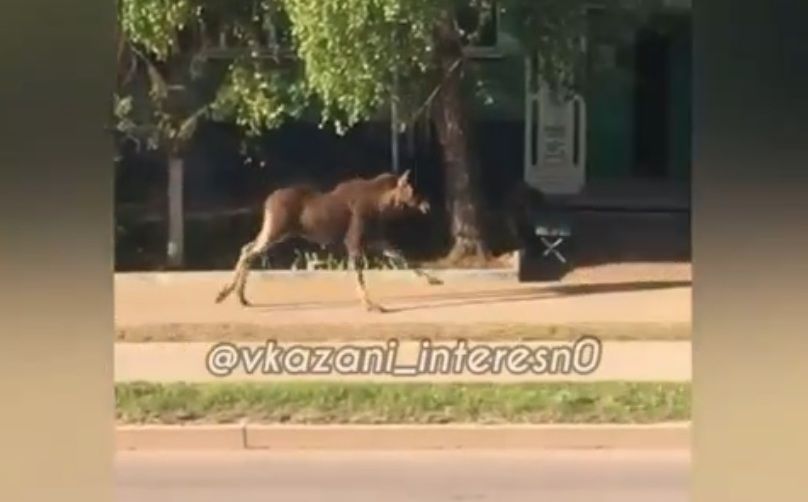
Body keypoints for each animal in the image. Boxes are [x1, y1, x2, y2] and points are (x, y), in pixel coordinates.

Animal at [214, 170, 443, 312]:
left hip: (274, 231)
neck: (382, 205)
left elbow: (401, 256)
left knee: (247, 249)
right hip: (277, 230)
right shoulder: (353, 240)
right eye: (412, 189)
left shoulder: (374, 238)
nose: (427, 204)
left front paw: (433, 279)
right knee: (249, 252)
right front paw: (371, 305)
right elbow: (359, 273)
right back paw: (226, 294)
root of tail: (266, 203)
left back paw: (240, 296)